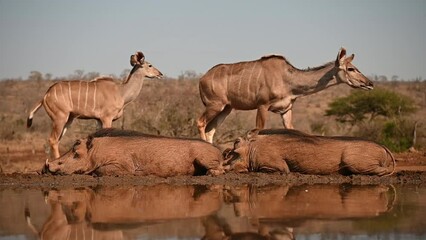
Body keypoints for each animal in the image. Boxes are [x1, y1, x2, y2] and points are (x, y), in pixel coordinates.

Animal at [27, 51, 163, 158]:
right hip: (59, 117)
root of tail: (45, 96)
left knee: (57, 140)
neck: (121, 92)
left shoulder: (98, 120)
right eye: (150, 65)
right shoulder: (107, 118)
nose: (160, 74)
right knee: (53, 140)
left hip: (68, 120)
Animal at [197, 47, 372, 143]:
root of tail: (202, 79)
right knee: (201, 122)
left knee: (211, 129)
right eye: (351, 69)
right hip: (215, 105)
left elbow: (293, 130)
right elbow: (257, 130)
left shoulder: (286, 110)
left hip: (226, 108)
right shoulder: (263, 105)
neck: (288, 81)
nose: (369, 83)